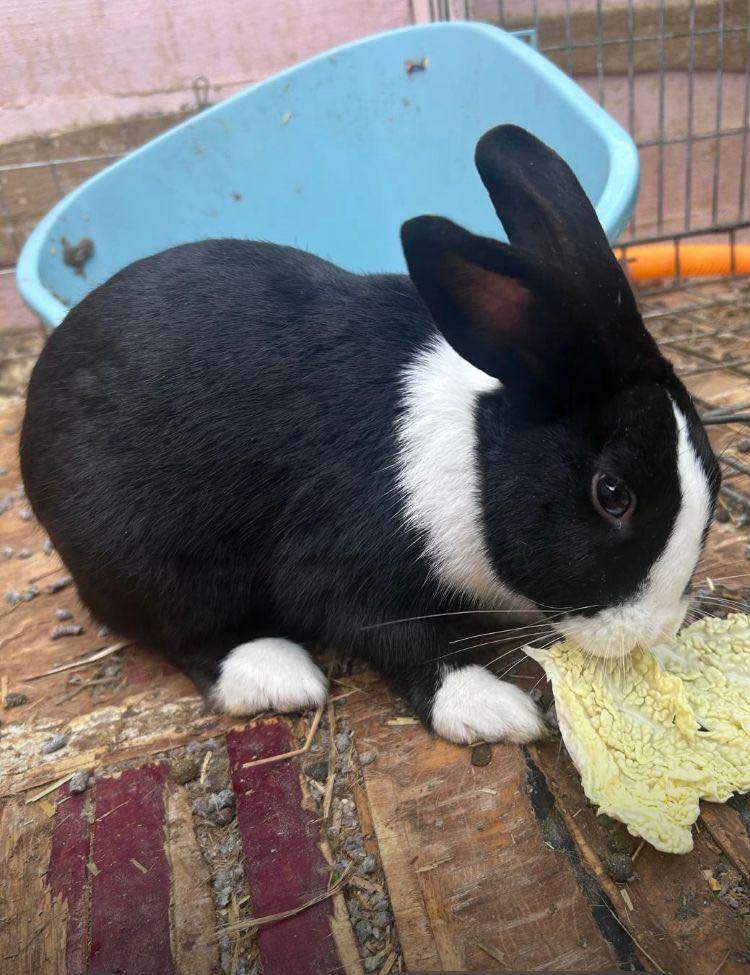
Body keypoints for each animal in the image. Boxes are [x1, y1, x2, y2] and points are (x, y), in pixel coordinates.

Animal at [20, 125, 720, 745]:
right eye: (613, 494)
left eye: (712, 469)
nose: (652, 633)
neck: (471, 459)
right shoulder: (343, 571)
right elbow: (410, 642)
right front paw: (493, 710)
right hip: (156, 560)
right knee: (185, 634)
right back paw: (278, 673)